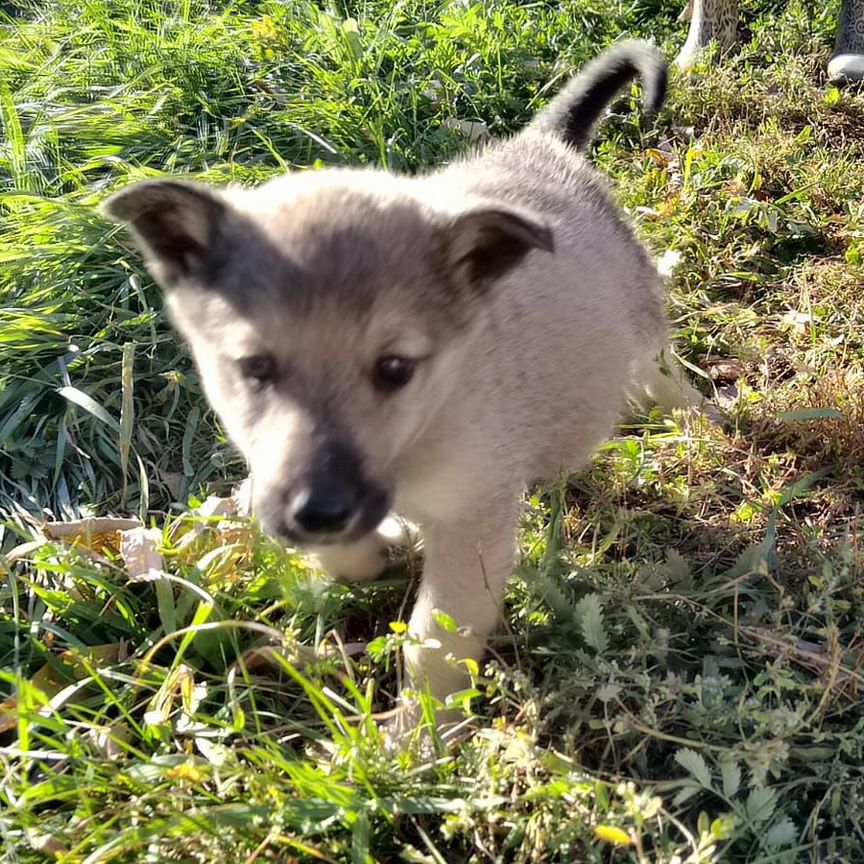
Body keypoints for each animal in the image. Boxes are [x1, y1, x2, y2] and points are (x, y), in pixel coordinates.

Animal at [103, 38, 708, 728]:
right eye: (255, 368)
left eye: (395, 369)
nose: (320, 513)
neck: (426, 424)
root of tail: (544, 146)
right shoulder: (277, 481)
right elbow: (302, 525)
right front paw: (372, 553)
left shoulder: (470, 532)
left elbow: (434, 646)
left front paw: (417, 735)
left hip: (641, 318)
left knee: (661, 368)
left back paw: (696, 416)